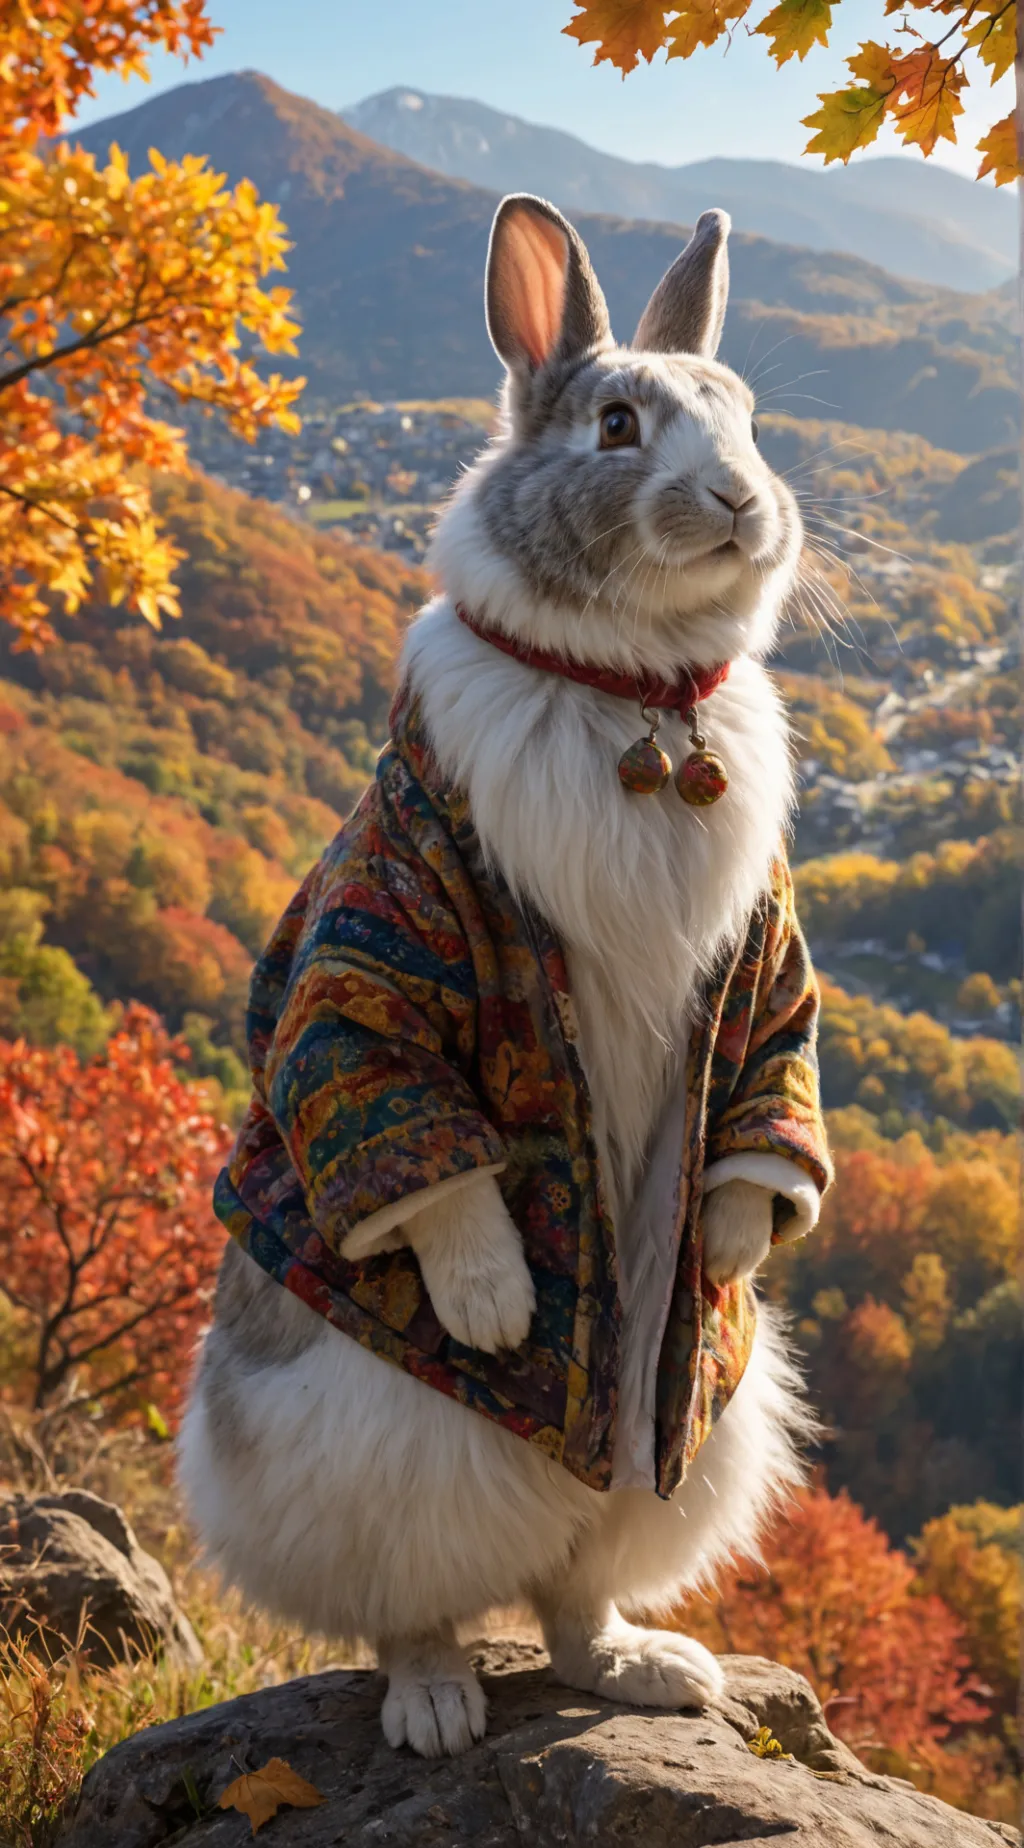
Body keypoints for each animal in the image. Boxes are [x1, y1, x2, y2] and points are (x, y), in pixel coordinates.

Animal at [179, 195, 827, 1760]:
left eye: (748, 415)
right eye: (614, 425)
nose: (743, 505)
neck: (634, 696)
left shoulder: (767, 970)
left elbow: (766, 1099)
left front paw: (735, 1241)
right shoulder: (388, 939)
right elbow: (399, 1097)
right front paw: (492, 1304)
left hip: (668, 1435)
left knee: (575, 1584)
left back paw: (642, 1668)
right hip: (379, 1451)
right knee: (411, 1597)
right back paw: (433, 1707)